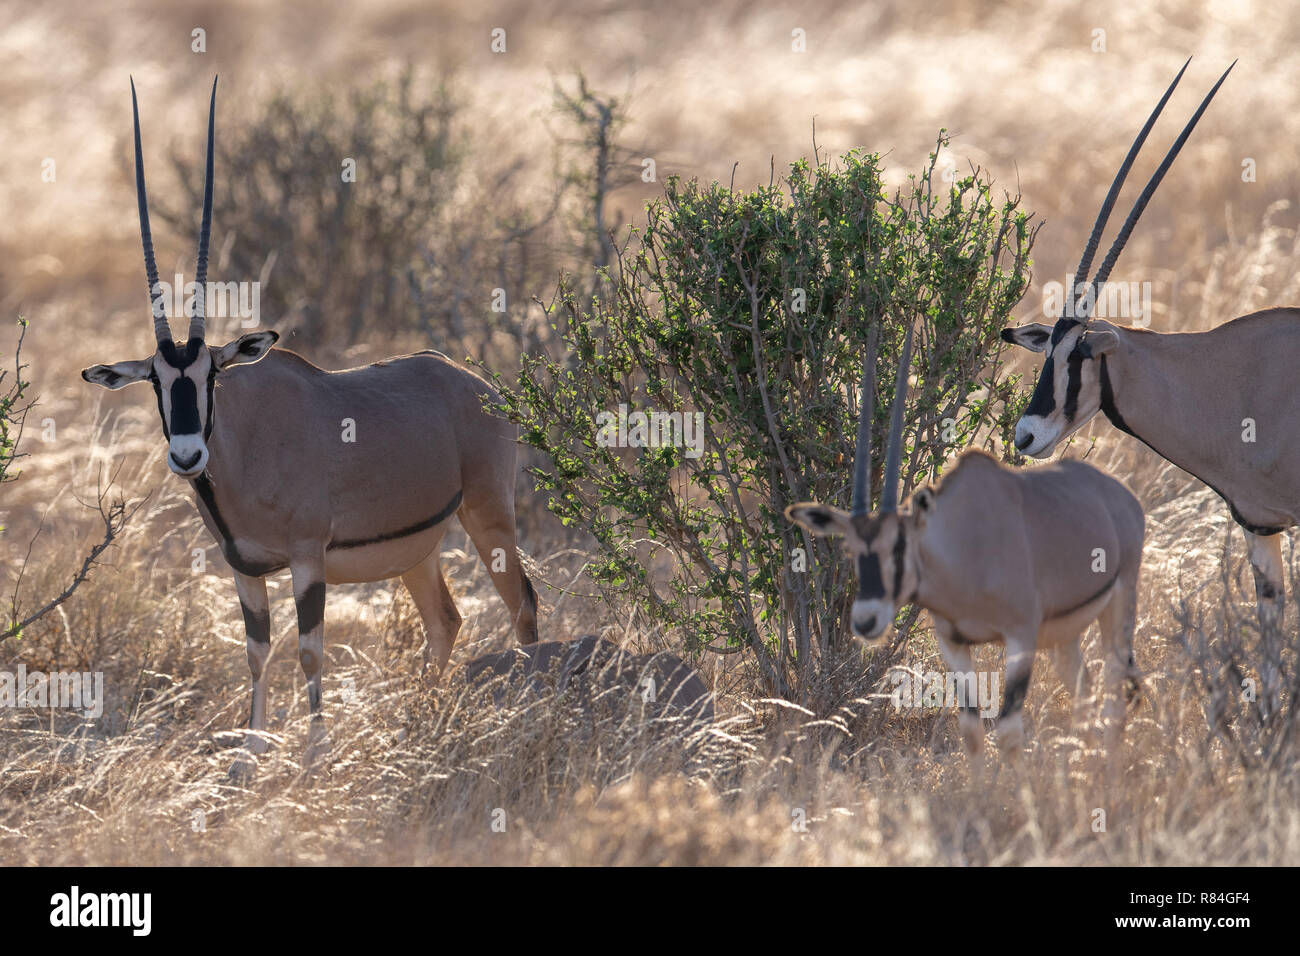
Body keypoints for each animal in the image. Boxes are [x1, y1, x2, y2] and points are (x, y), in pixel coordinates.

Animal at [82, 76, 538, 780]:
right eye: (154, 380)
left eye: (213, 373)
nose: (186, 456)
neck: (243, 446)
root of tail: (473, 384)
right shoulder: (242, 568)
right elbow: (257, 653)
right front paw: (247, 758)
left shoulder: (306, 558)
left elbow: (309, 651)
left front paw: (313, 756)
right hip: (418, 549)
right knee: (446, 621)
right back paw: (418, 723)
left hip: (489, 515)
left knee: (520, 605)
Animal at [785, 325, 1144, 759]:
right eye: (851, 551)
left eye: (900, 546)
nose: (866, 620)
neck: (962, 545)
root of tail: (1121, 496)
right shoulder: (954, 644)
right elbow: (971, 731)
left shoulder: (1019, 637)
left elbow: (1007, 733)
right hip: (1064, 635)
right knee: (1084, 690)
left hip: (1119, 605)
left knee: (1114, 692)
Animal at [998, 61, 1294, 712]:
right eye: (1045, 351)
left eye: (1081, 353)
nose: (1026, 436)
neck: (1231, 379)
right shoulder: (1262, 526)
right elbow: (1272, 647)